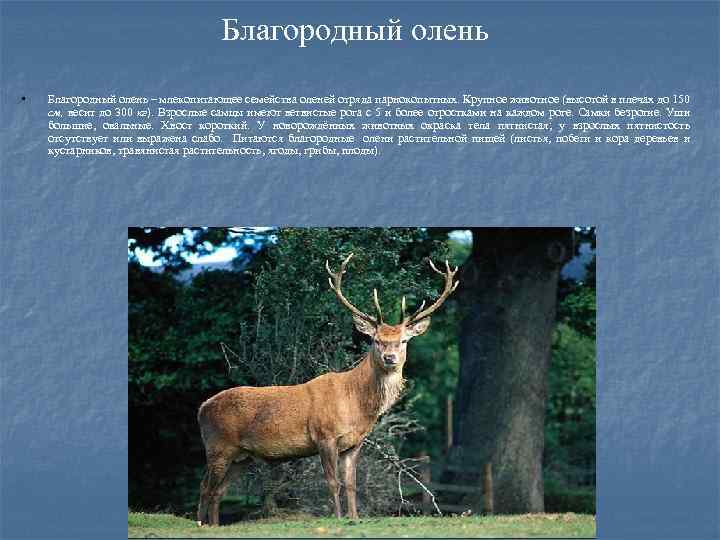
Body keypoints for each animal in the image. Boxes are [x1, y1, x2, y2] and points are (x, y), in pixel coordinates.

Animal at [196, 253, 459, 526]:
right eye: (376, 340)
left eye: (404, 340)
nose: (390, 358)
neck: (356, 405)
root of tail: (202, 407)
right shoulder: (324, 436)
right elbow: (333, 483)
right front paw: (339, 518)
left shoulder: (354, 443)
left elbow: (351, 484)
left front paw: (355, 518)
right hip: (217, 445)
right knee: (205, 487)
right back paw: (201, 524)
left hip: (242, 455)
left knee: (219, 491)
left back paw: (214, 525)